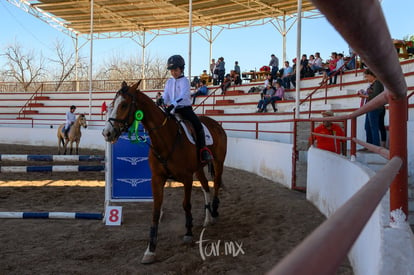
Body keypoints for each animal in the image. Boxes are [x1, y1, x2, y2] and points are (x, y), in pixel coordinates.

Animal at [102, 81, 228, 266]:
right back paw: (207, 218)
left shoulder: (186, 178)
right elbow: (155, 211)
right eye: (112, 104)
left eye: (124, 105)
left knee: (217, 183)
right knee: (206, 187)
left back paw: (215, 211)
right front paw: (150, 250)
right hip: (199, 169)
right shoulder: (157, 179)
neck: (166, 138)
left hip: (218, 163)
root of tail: (216, 124)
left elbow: (186, 204)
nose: (107, 133)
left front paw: (188, 232)